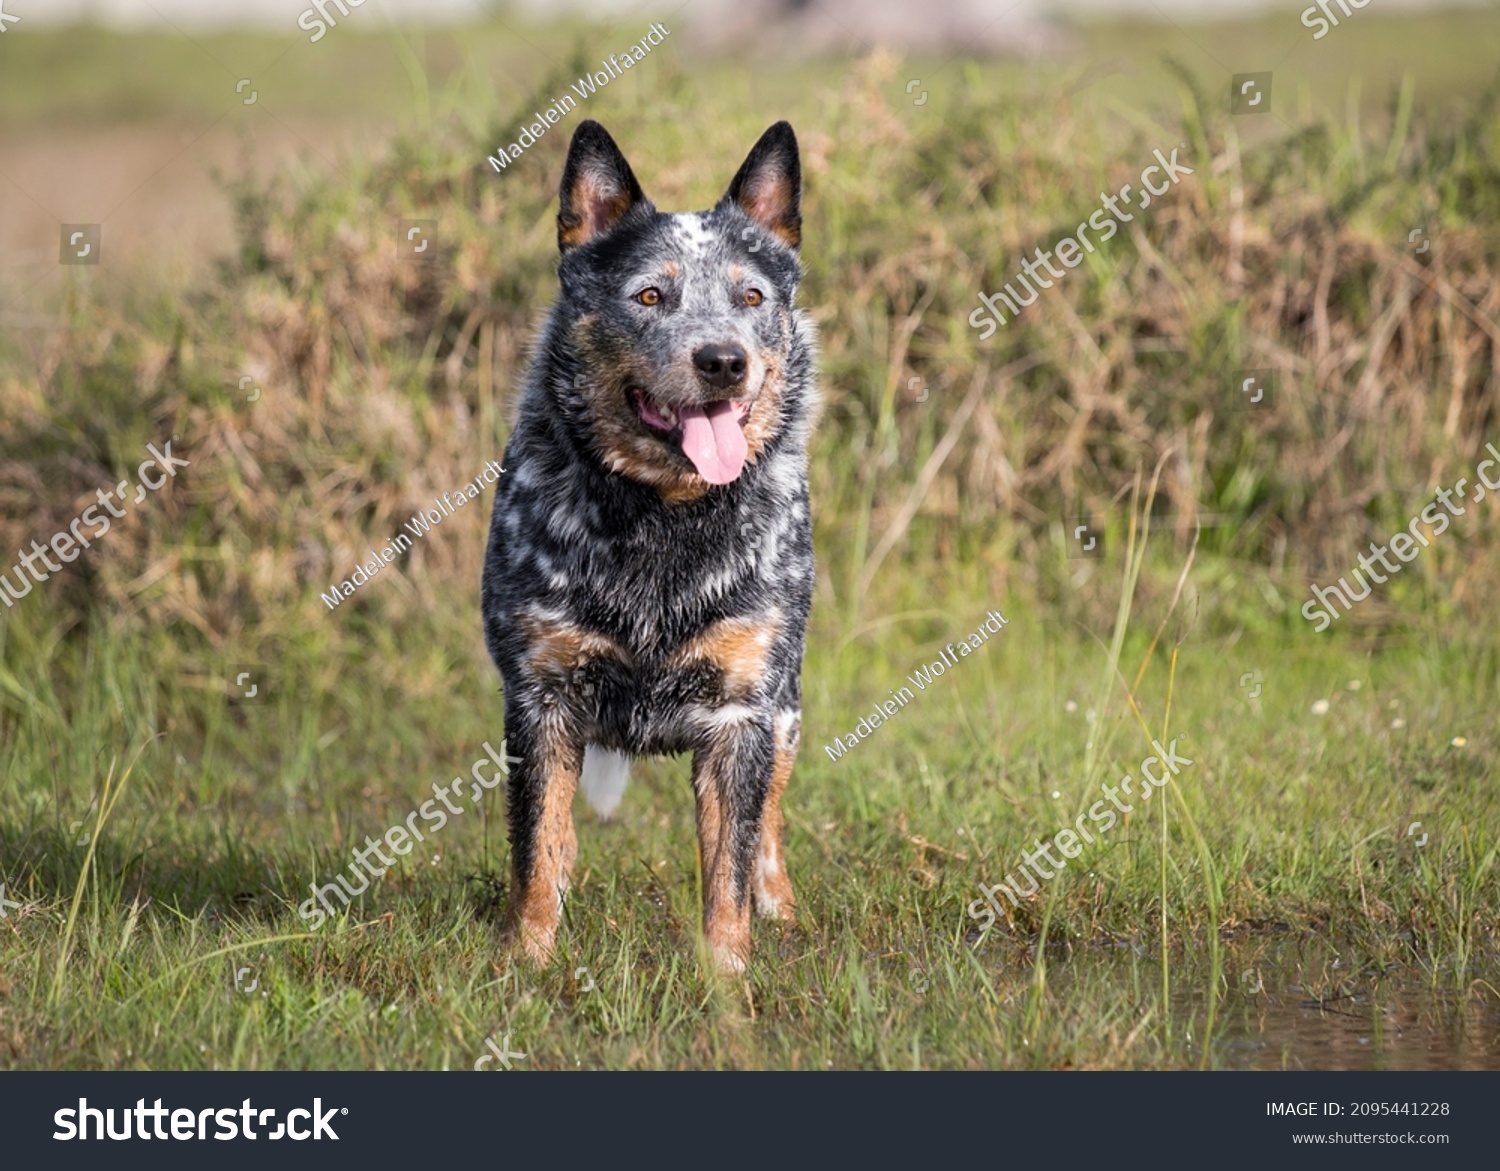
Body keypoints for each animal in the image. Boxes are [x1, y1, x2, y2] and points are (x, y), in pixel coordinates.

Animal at [480, 118, 816, 965]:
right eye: (650, 296)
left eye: (750, 296)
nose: (723, 359)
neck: (664, 515)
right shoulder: (540, 699)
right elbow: (536, 848)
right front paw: (526, 962)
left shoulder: (743, 712)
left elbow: (729, 866)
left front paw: (728, 975)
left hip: (788, 710)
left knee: (768, 824)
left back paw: (782, 907)